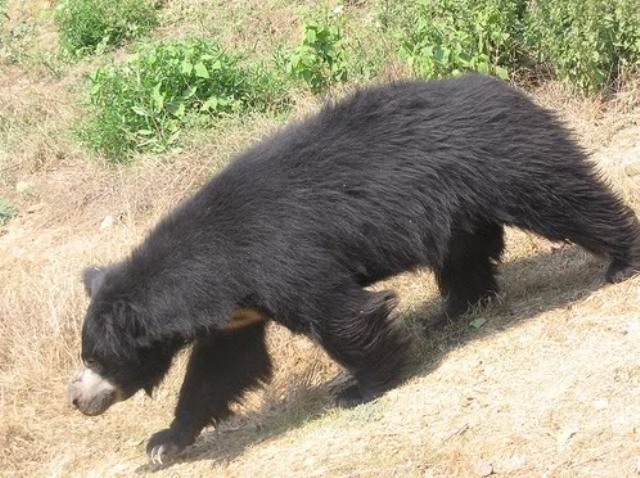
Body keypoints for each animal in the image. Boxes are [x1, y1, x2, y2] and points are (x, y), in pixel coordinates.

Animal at [69, 74, 640, 464]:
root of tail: (503, 87)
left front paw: (359, 387)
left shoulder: (283, 256)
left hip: (508, 160)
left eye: (98, 358)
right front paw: (165, 442)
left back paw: (621, 261)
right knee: (465, 255)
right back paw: (453, 310)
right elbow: (220, 368)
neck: (214, 265)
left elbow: (340, 314)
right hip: (456, 205)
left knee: (565, 199)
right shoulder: (238, 310)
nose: (78, 399)